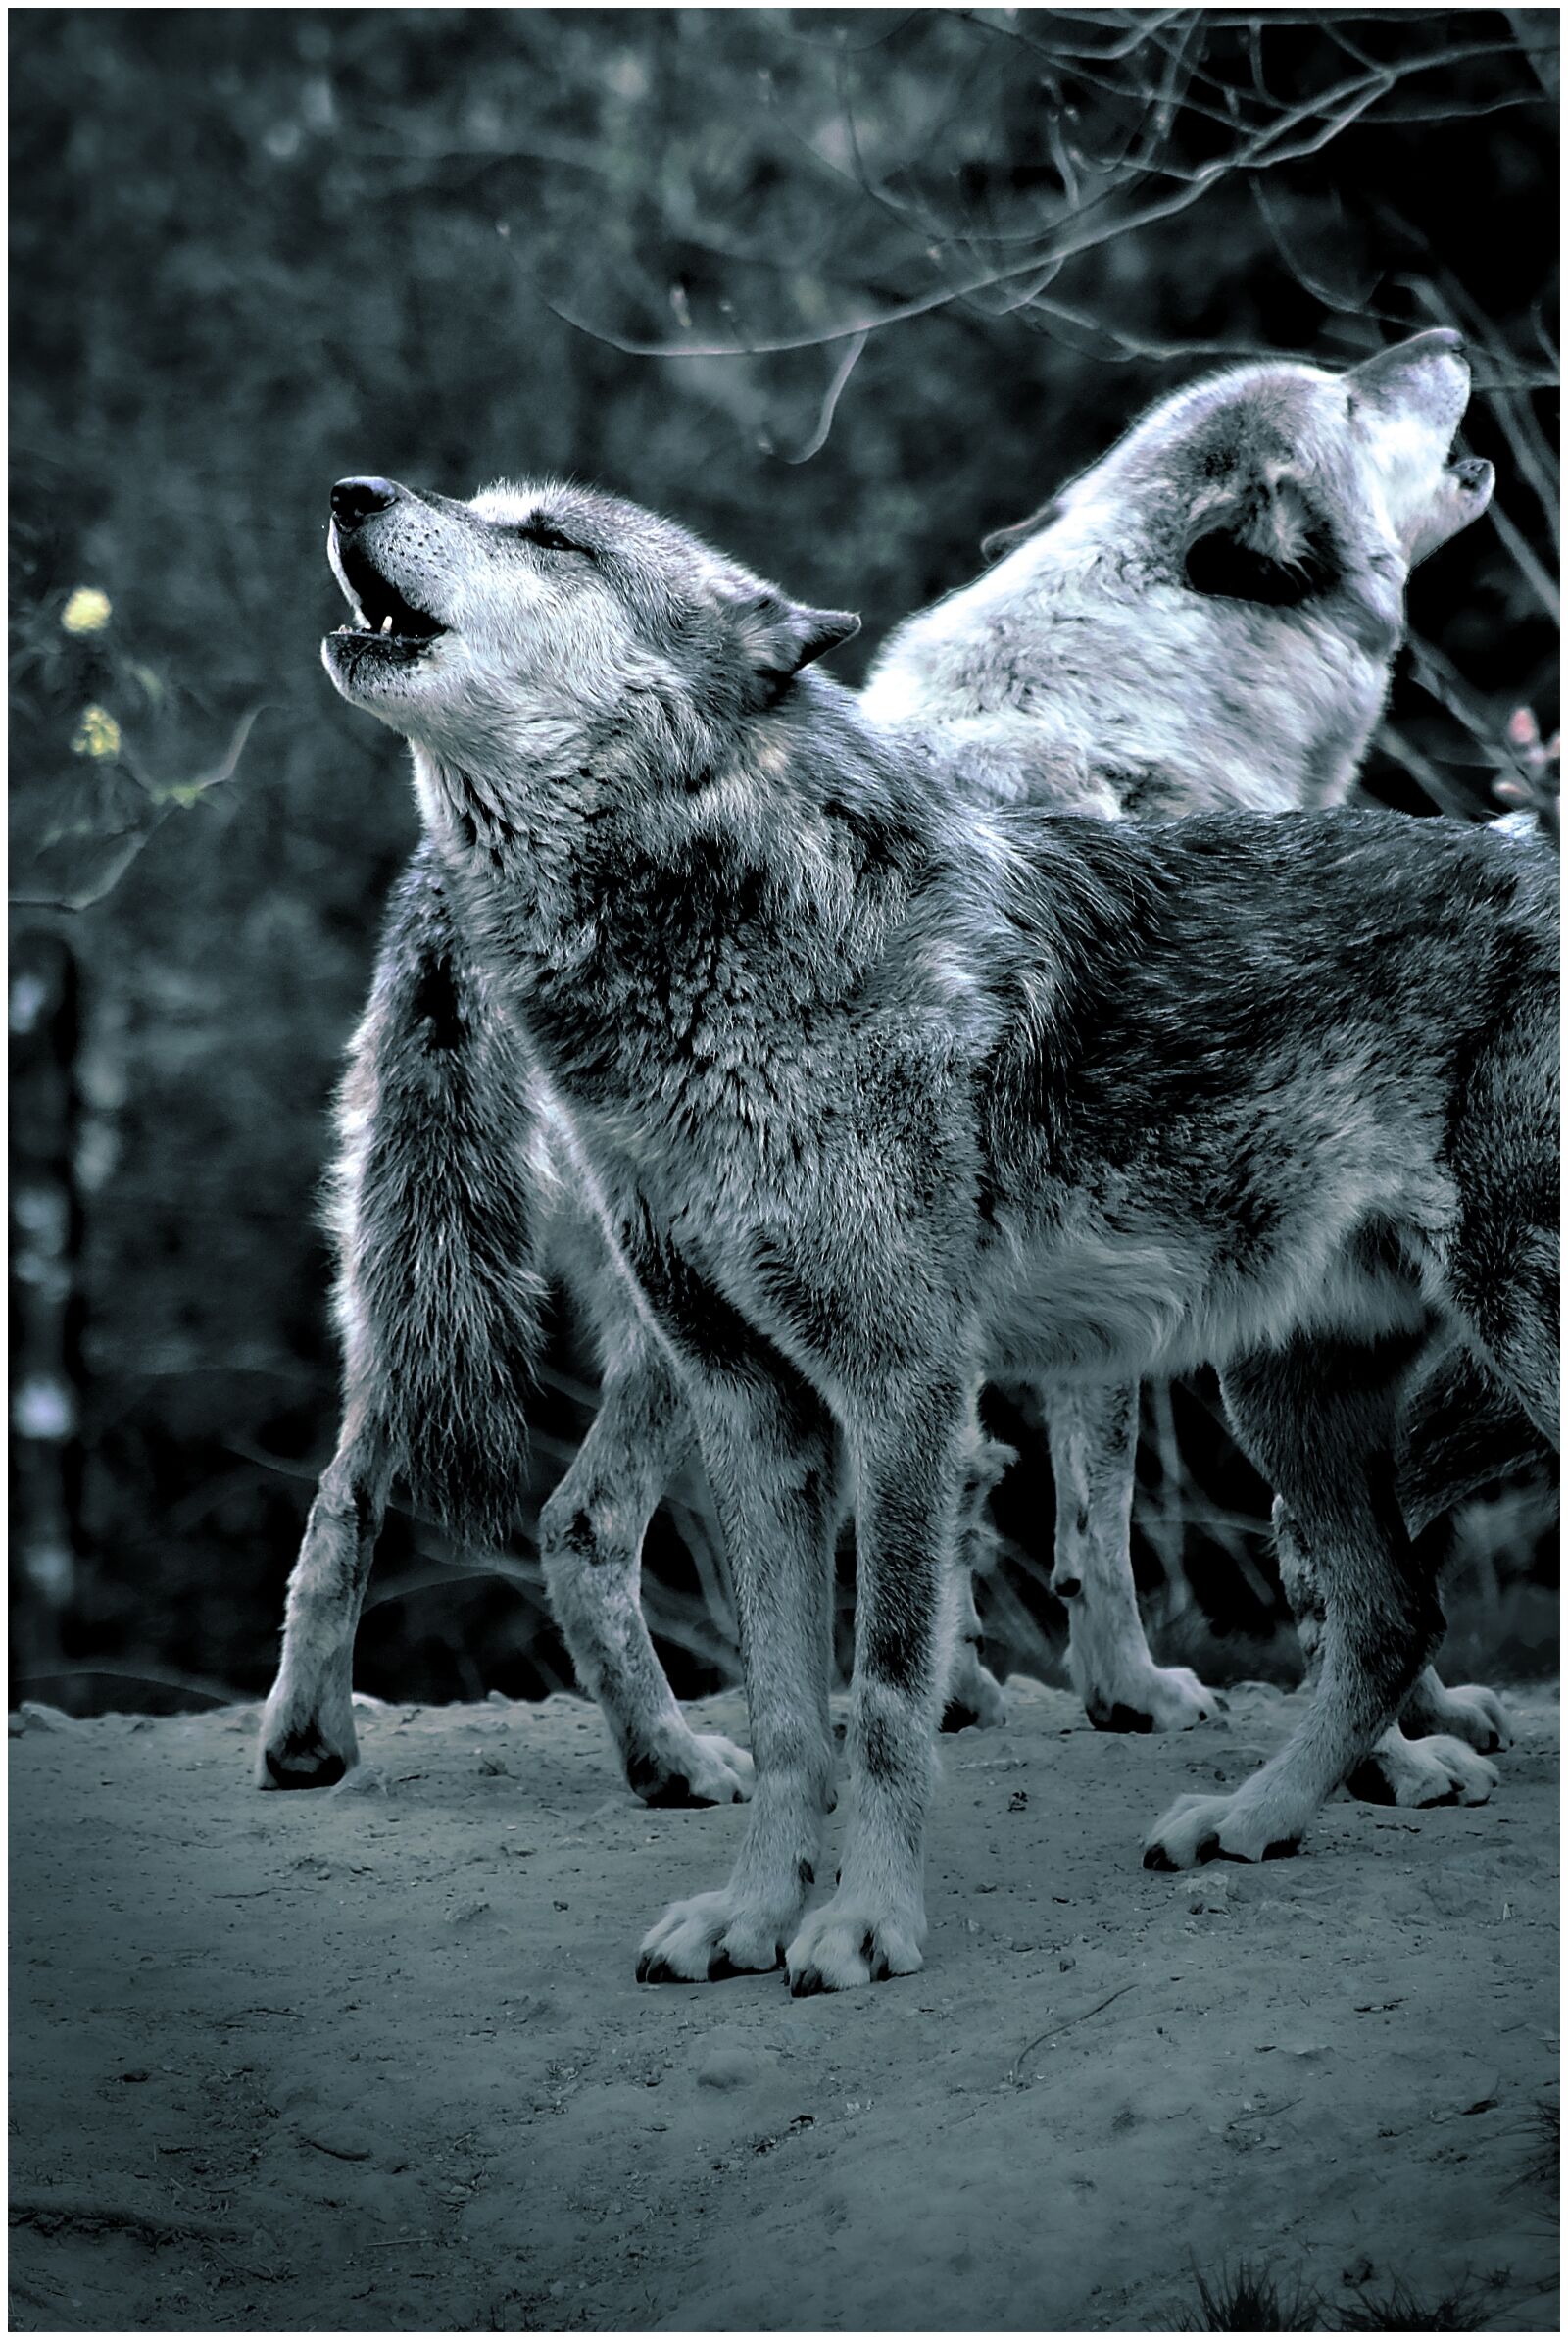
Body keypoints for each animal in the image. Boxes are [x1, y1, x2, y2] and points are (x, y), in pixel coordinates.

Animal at [298, 449, 1555, 1993]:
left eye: (548, 535)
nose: (353, 489)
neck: (730, 952)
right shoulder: (754, 1407)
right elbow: (792, 1712)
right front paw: (751, 1913)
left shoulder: (903, 1387)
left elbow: (889, 1688)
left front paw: (862, 1923)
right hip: (1280, 1390)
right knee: (1388, 1613)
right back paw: (1251, 1817)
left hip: (1482, 1352)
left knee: (1379, 1604)